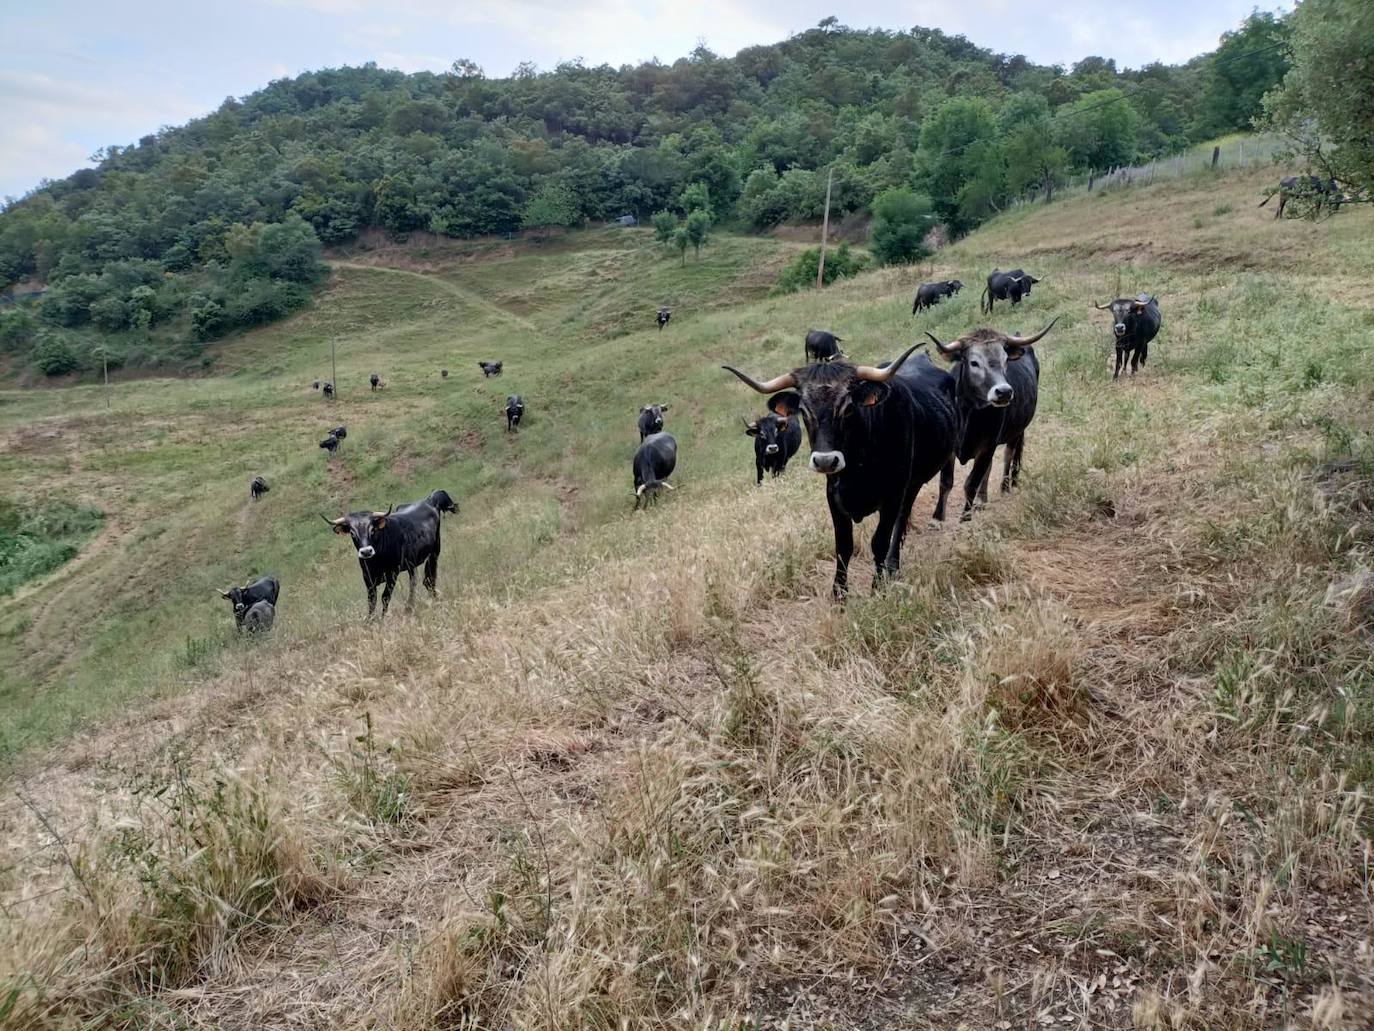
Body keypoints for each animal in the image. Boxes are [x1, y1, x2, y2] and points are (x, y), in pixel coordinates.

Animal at [725, 343, 961, 596]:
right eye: (804, 411)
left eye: (848, 408)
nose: (825, 461)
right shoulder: (833, 496)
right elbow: (843, 545)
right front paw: (839, 593)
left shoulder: (893, 495)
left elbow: (880, 541)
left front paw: (877, 587)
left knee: (906, 516)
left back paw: (895, 562)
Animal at [923, 318, 1060, 519]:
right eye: (974, 362)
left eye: (1005, 360)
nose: (1004, 392)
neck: (969, 413)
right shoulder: (953, 449)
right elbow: (946, 482)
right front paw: (938, 517)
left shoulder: (988, 445)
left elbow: (971, 483)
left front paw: (966, 517)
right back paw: (983, 500)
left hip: (1017, 431)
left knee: (1009, 454)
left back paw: (1006, 486)